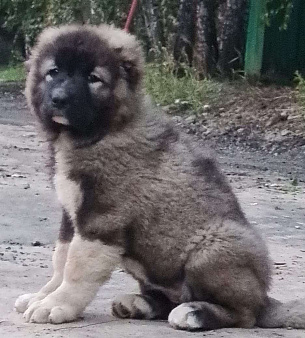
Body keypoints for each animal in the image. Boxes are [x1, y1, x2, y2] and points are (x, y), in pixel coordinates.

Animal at [14, 25, 304, 330]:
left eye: (94, 79)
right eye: (53, 72)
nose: (59, 99)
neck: (101, 132)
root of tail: (265, 299)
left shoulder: (102, 220)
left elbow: (76, 267)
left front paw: (55, 304)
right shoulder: (71, 214)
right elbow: (61, 257)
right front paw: (42, 295)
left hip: (213, 247)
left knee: (245, 314)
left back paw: (193, 313)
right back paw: (139, 304)